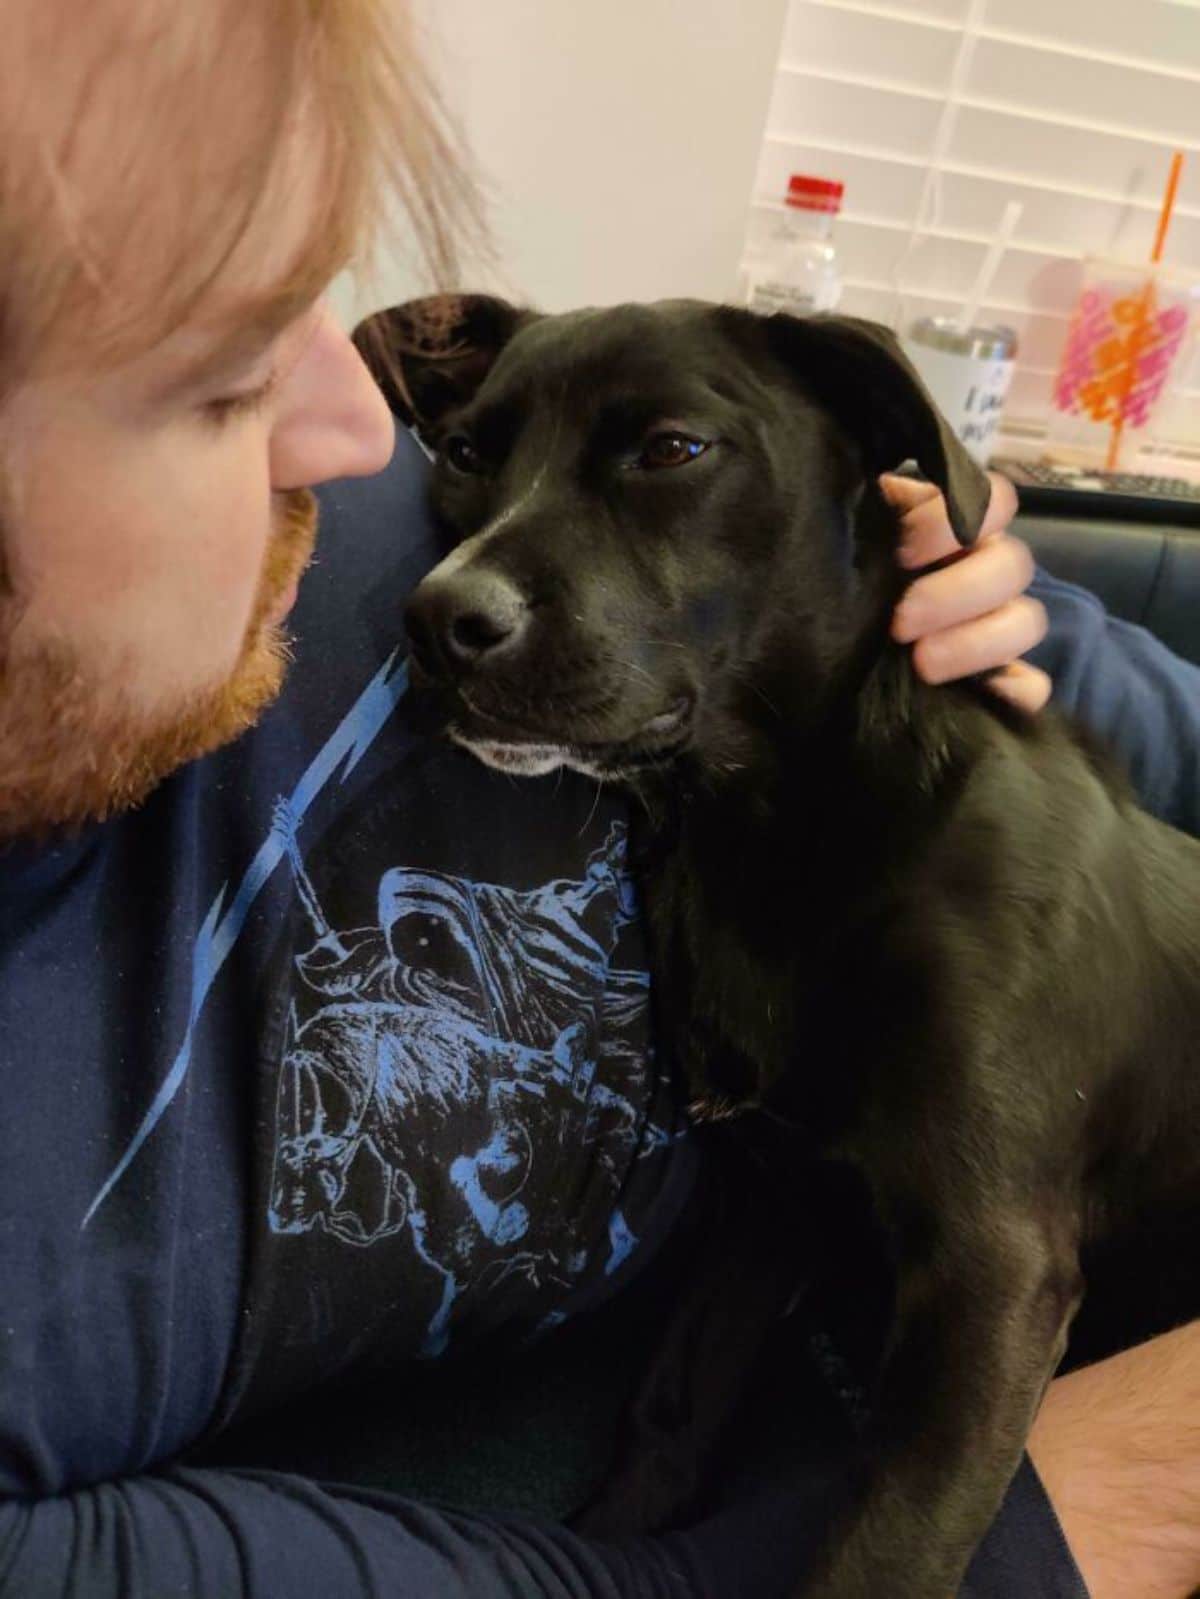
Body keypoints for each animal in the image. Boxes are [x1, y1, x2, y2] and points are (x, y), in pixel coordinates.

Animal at [355, 300, 1200, 1599]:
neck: (774, 830)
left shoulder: (993, 1278)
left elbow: (886, 1549)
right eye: (461, 454)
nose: (440, 624)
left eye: (671, 451)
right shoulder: (773, 1198)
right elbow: (672, 1409)